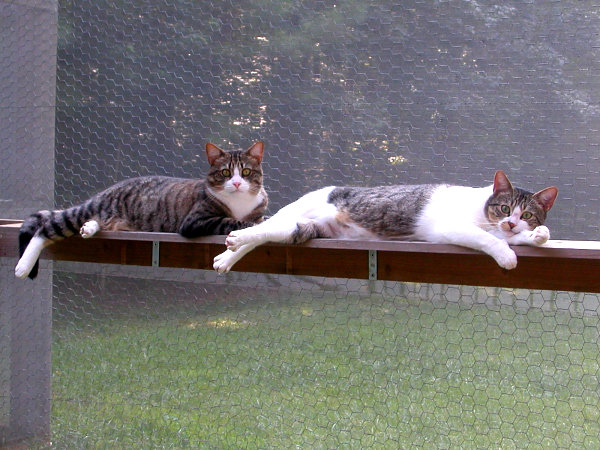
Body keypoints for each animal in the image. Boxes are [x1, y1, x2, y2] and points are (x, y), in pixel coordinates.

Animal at [15, 141, 268, 278]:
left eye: (246, 172)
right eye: (225, 173)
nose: (237, 183)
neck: (239, 202)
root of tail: (108, 190)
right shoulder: (195, 220)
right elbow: (228, 220)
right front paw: (250, 223)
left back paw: (88, 228)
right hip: (87, 210)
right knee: (46, 228)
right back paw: (23, 266)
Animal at [214, 171, 556, 270]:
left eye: (526, 214)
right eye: (504, 208)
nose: (511, 222)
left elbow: (513, 237)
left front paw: (536, 235)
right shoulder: (454, 228)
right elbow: (489, 239)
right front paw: (507, 256)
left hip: (299, 229)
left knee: (265, 234)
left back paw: (226, 256)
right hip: (295, 214)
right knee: (257, 229)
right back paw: (230, 246)